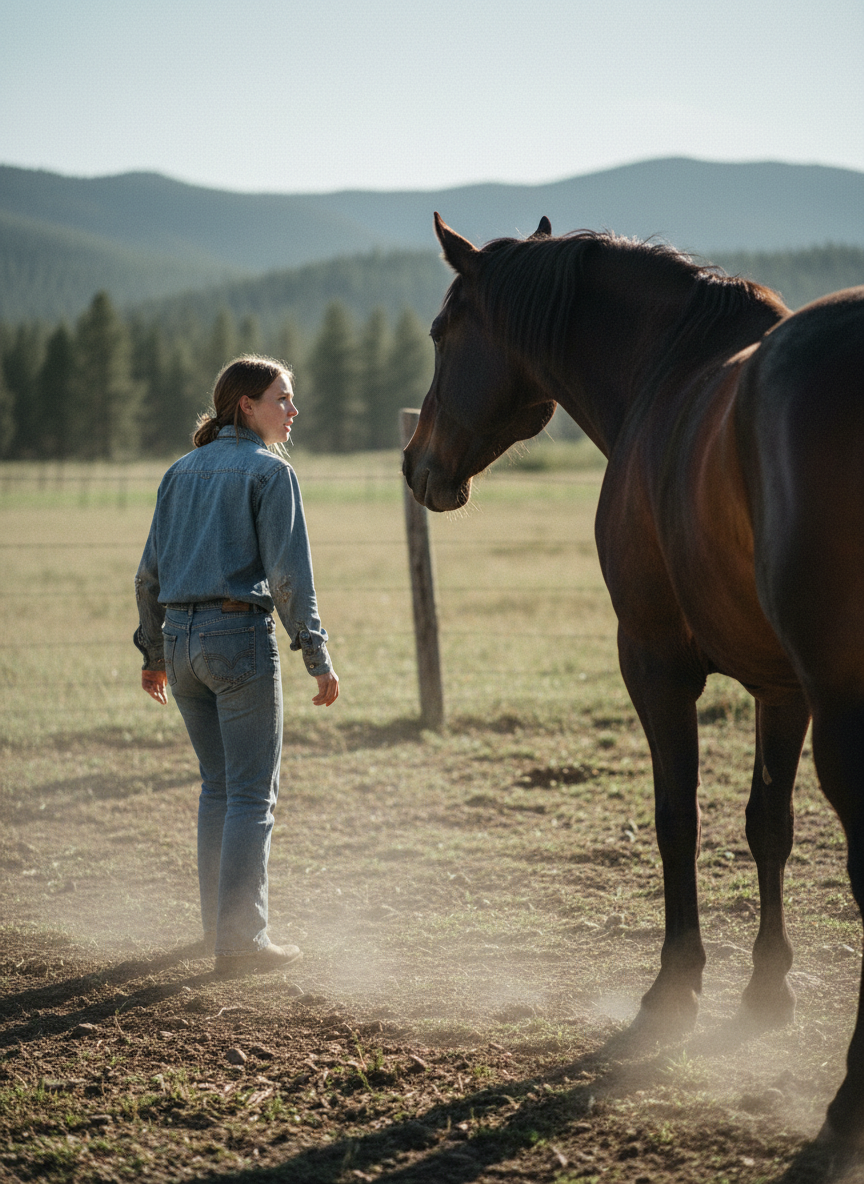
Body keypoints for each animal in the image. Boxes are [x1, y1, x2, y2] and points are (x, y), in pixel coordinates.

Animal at [403, 211, 864, 1146]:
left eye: (440, 332)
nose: (414, 462)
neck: (670, 378)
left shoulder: (653, 662)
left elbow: (675, 819)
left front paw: (675, 987)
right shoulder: (781, 688)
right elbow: (769, 827)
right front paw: (767, 991)